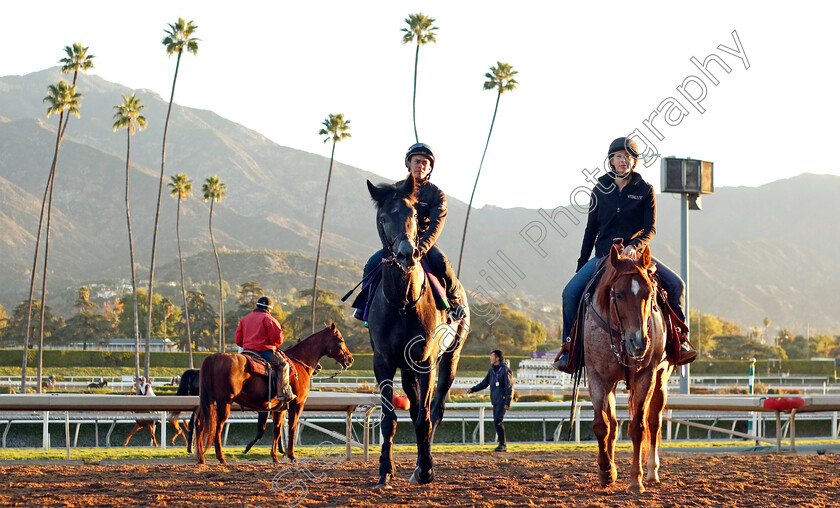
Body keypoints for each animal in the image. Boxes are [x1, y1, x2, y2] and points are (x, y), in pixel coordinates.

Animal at [195, 326, 352, 464]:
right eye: (340, 339)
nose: (350, 359)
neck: (299, 363)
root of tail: (214, 357)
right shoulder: (297, 404)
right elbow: (292, 428)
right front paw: (291, 456)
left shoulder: (279, 408)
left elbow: (277, 431)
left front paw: (275, 457)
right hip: (224, 402)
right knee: (217, 428)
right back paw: (221, 458)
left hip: (207, 402)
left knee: (200, 424)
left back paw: (201, 458)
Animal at [366, 175, 470, 488]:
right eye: (383, 217)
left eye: (414, 216)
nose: (406, 254)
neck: (402, 302)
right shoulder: (384, 362)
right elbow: (389, 418)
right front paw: (385, 472)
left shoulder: (426, 361)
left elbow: (424, 418)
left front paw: (425, 470)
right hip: (407, 367)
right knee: (414, 410)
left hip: (451, 358)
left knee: (434, 411)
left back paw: (423, 464)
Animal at [580, 244, 672, 494]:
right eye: (618, 294)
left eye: (649, 293)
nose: (639, 343)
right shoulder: (598, 377)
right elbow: (602, 425)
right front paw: (606, 471)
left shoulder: (646, 376)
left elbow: (638, 427)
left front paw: (635, 480)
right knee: (612, 423)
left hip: (661, 377)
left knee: (654, 421)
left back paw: (651, 472)